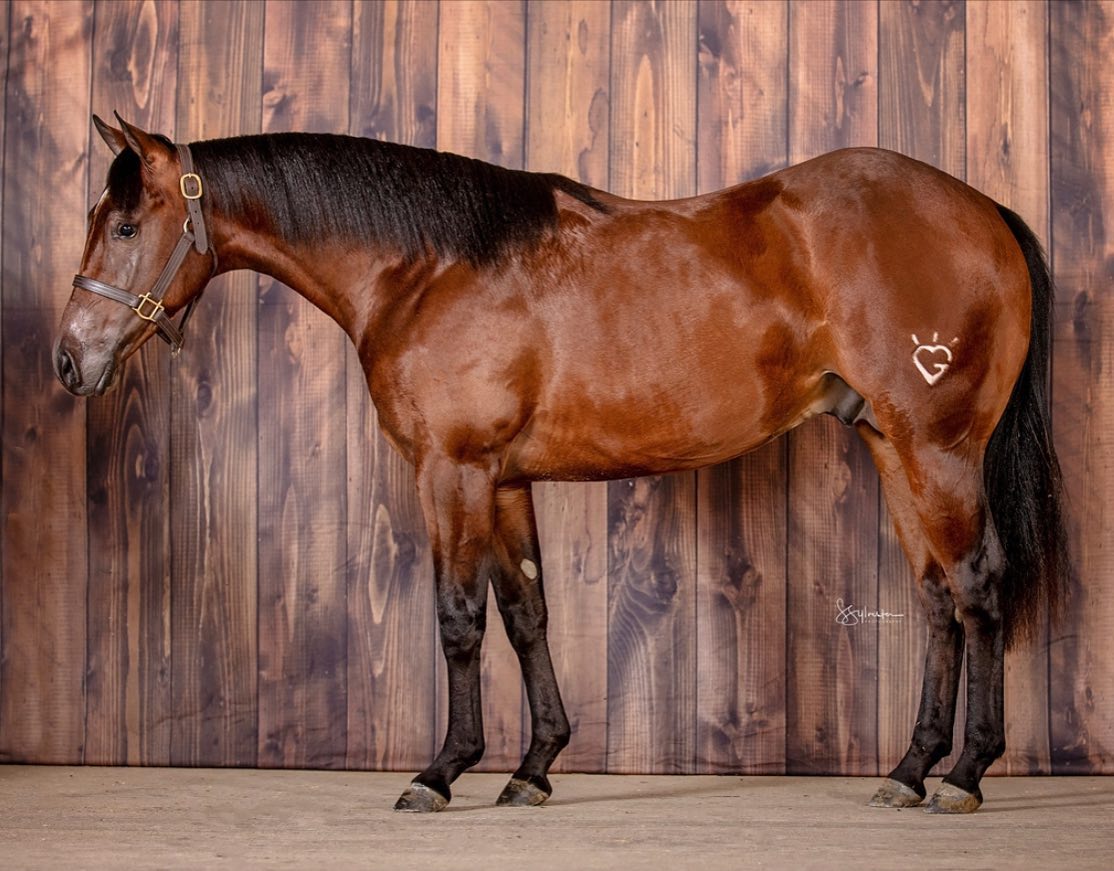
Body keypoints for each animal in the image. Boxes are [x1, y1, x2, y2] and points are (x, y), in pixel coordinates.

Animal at [55, 115, 1069, 814]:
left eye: (125, 226)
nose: (69, 359)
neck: (426, 268)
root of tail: (983, 211)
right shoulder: (504, 480)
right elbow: (526, 614)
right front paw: (535, 767)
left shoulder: (452, 471)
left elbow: (459, 620)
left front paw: (441, 770)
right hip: (891, 445)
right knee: (936, 596)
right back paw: (909, 768)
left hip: (939, 447)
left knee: (978, 585)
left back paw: (966, 772)